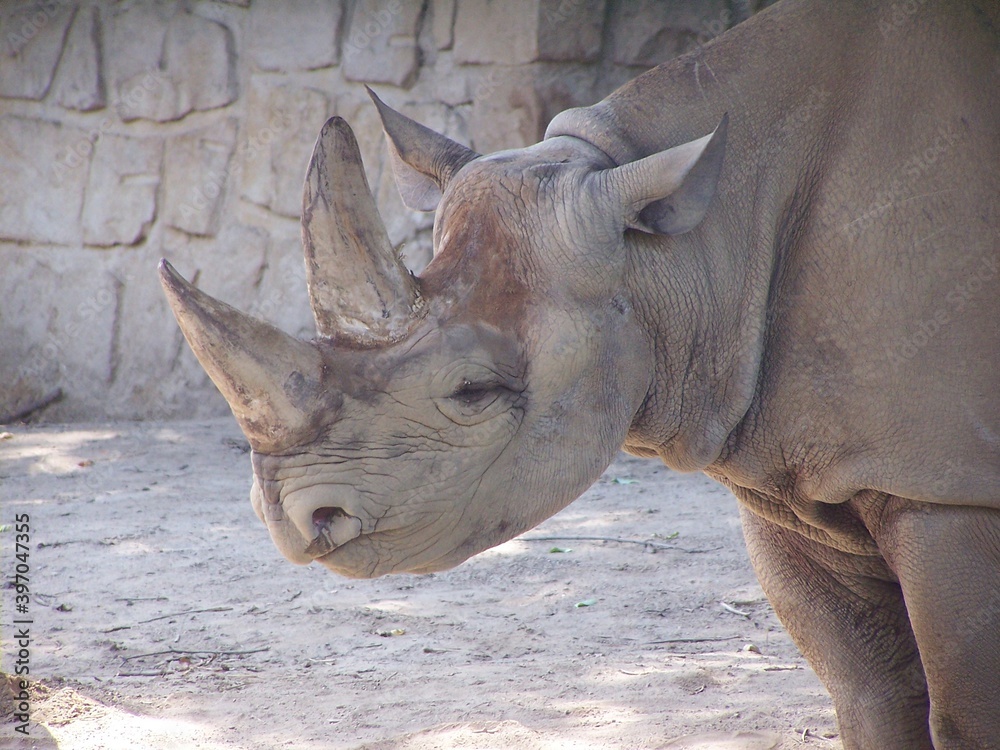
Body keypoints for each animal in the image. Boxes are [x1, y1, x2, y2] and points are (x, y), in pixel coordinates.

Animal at [159, 0, 999, 746]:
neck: (690, 249)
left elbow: (962, 716)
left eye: (472, 391)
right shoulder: (794, 484)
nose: (288, 521)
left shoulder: (949, 489)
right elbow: (870, 695)